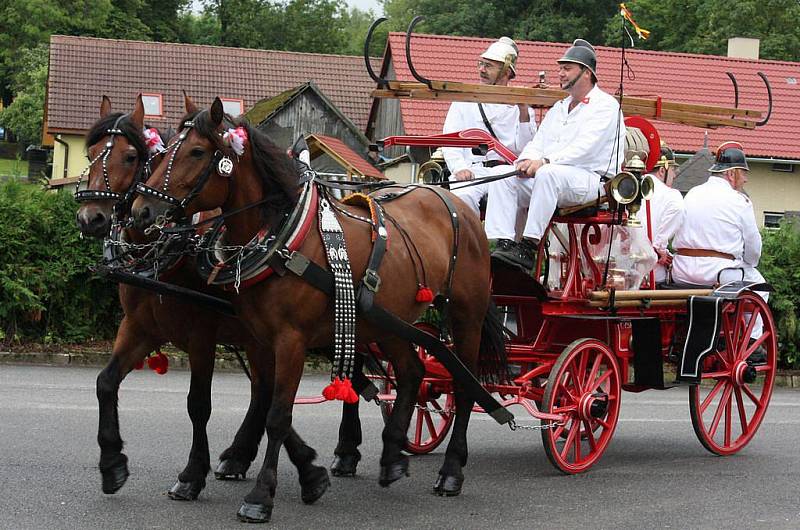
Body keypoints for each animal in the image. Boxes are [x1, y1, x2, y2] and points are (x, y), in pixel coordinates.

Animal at [77, 96, 332, 504]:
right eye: (91, 152)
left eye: (130, 157)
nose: (90, 218)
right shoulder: (140, 327)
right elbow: (106, 382)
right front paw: (113, 463)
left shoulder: (202, 336)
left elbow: (198, 404)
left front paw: (192, 474)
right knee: (263, 390)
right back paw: (241, 455)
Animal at [131, 96, 506, 520]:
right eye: (161, 153)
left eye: (196, 152)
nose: (142, 211)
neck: (284, 238)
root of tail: (456, 203)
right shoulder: (260, 340)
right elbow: (264, 398)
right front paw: (301, 473)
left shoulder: (290, 341)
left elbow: (278, 414)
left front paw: (261, 495)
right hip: (387, 319)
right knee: (412, 373)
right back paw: (392, 455)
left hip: (465, 315)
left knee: (465, 386)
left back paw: (451, 471)